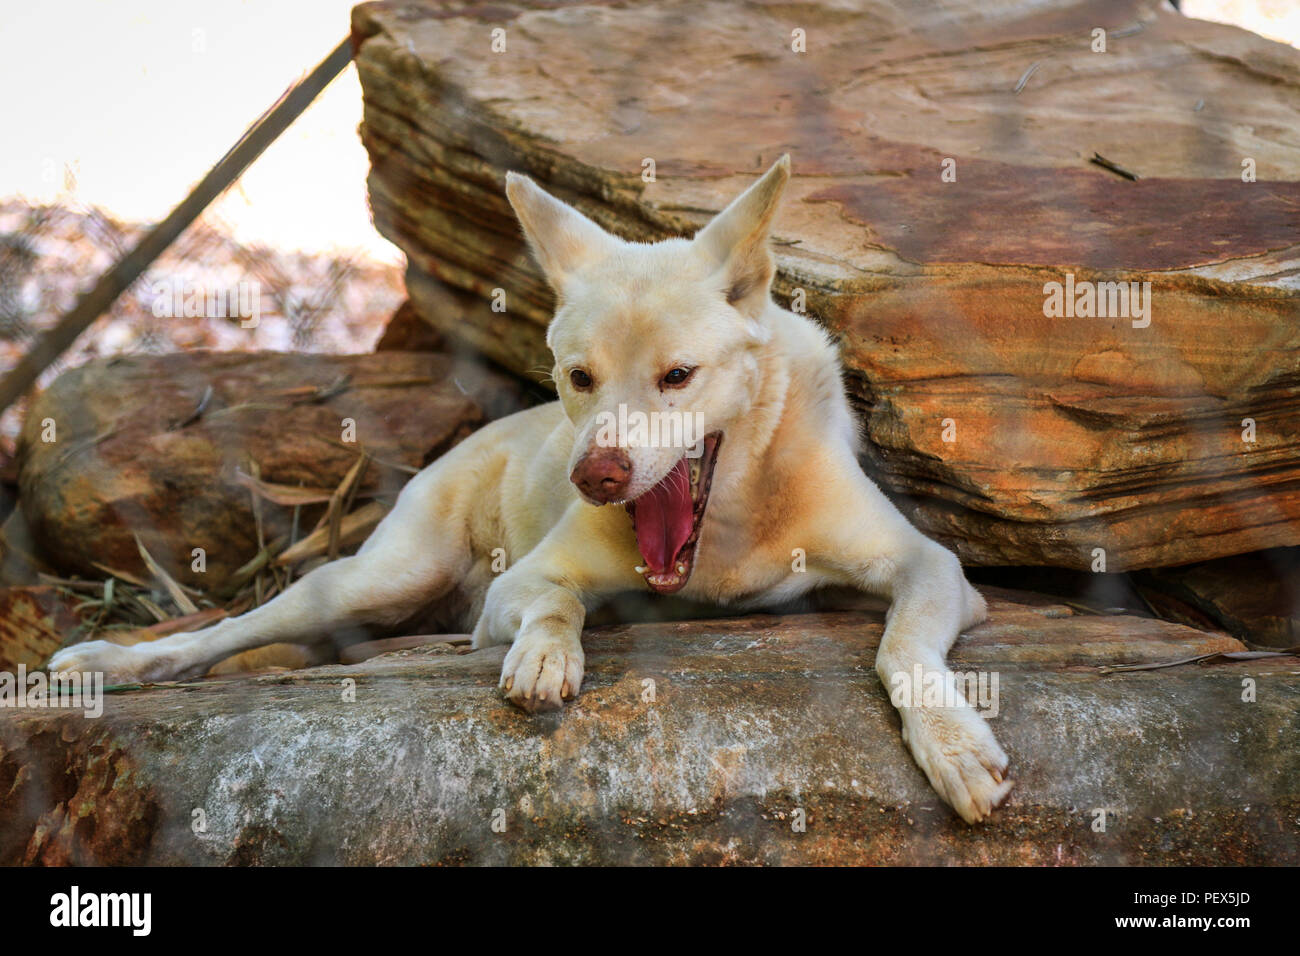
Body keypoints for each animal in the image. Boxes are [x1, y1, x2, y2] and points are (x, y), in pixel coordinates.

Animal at [50, 155, 1008, 822]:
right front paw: (546, 655)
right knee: (231, 630)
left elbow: (901, 649)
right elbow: (555, 602)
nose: (596, 475)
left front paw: (953, 746)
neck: (729, 522)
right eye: (580, 376)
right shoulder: (520, 583)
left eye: (678, 376)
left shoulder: (933, 567)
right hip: (378, 579)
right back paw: (109, 663)